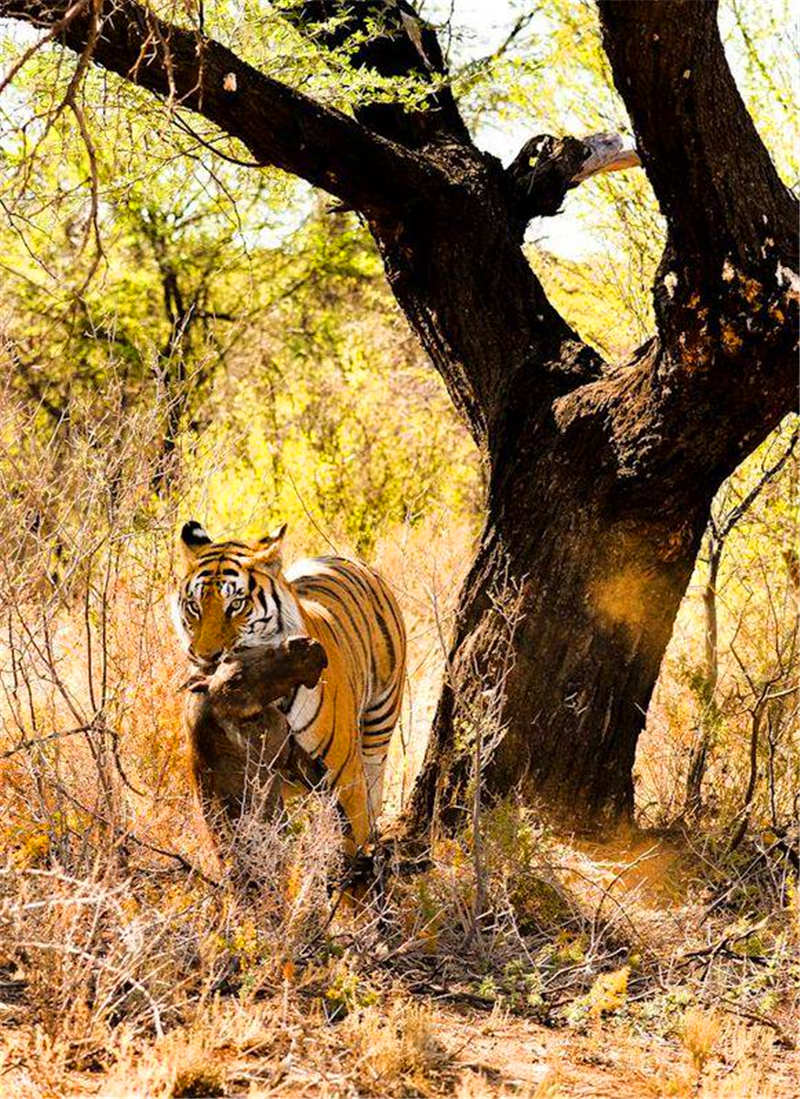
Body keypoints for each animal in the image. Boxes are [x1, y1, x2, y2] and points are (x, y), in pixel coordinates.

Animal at [171, 518, 402, 844]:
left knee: (374, 781)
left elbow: (352, 834)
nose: (206, 656)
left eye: (235, 605)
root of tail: (347, 558)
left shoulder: (344, 774)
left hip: (380, 718)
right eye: (194, 606)